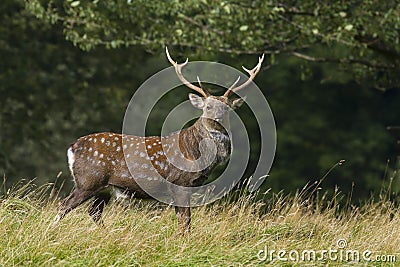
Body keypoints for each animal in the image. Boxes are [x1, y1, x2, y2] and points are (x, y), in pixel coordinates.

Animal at [54, 48, 266, 234]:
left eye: (227, 107)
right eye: (207, 107)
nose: (217, 119)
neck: (197, 153)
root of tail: (72, 148)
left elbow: (183, 220)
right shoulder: (180, 183)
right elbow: (185, 221)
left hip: (103, 188)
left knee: (93, 212)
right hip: (88, 180)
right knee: (63, 206)